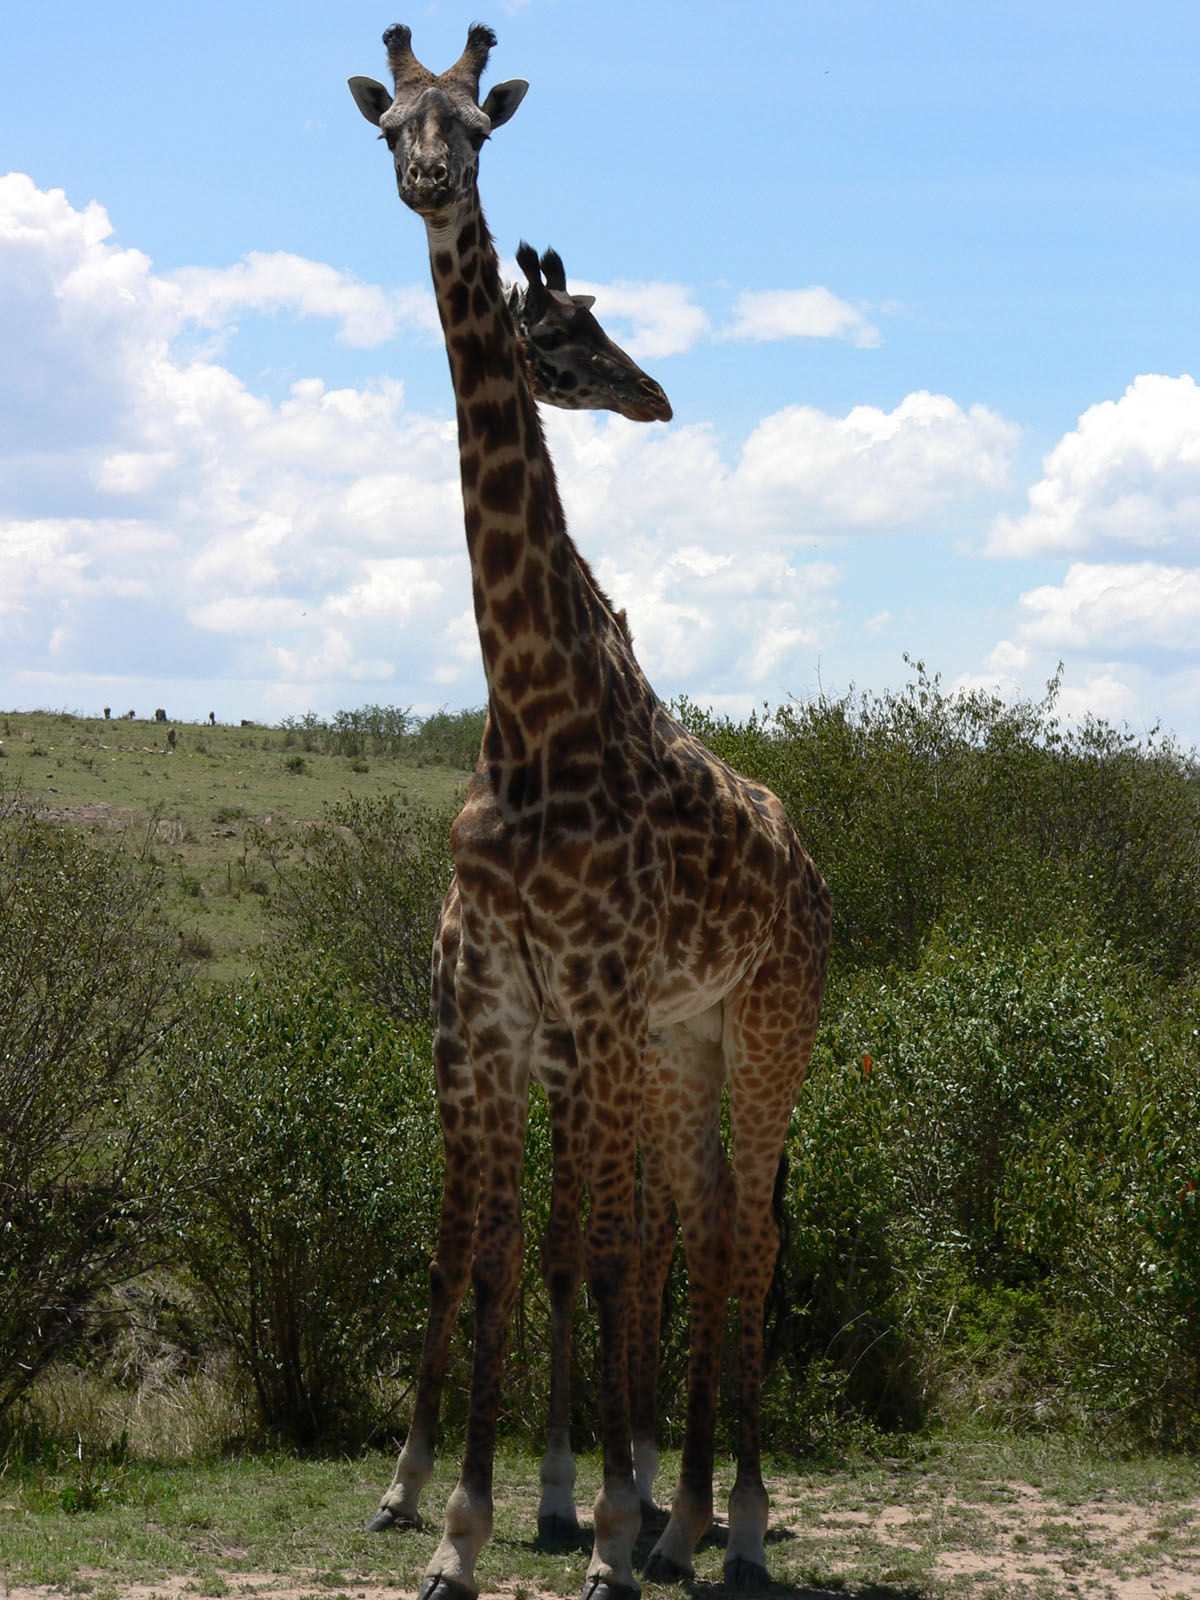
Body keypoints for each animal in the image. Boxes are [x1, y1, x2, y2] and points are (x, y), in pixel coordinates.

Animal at [352, 25, 832, 1600]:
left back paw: (731, 1527)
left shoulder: (597, 998)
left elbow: (604, 1248)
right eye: (395, 123)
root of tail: (812, 864)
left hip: (767, 1022)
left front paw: (597, 1524)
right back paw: (688, 1512)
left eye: (478, 128)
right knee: (703, 1221)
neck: (533, 714)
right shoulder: (509, 1007)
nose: (656, 393)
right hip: (684, 1039)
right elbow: (509, 1245)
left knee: (742, 1236)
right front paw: (464, 1522)